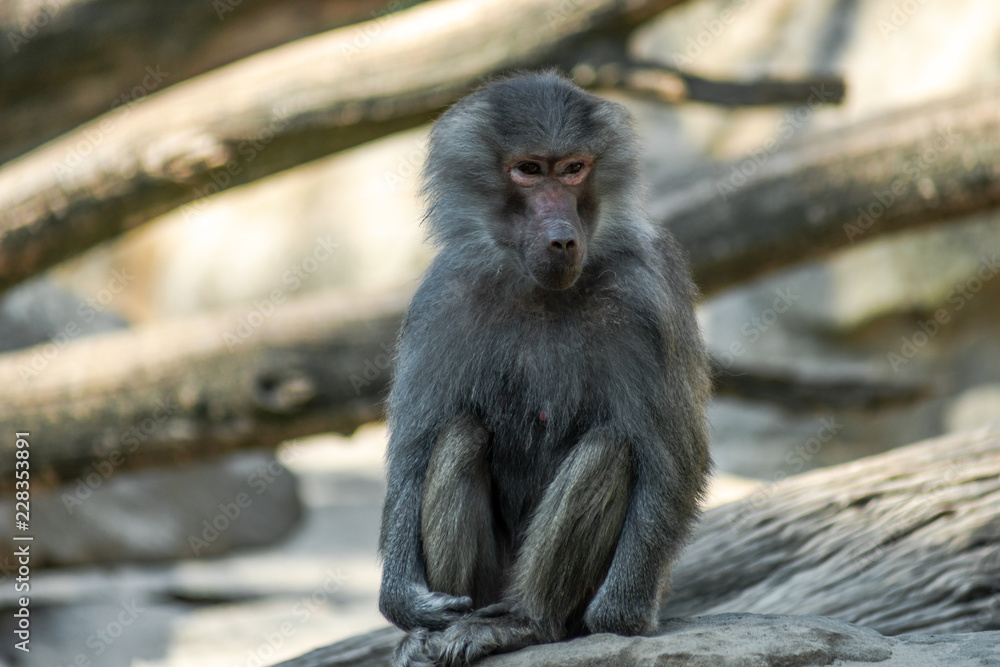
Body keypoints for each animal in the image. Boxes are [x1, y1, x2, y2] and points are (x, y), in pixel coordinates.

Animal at [378, 72, 711, 666]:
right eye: (529, 170)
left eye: (573, 168)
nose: (561, 239)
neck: (539, 291)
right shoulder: (441, 297)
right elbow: (413, 448)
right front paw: (404, 604)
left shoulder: (648, 293)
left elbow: (673, 457)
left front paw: (621, 618)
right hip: (485, 586)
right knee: (458, 435)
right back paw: (439, 633)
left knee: (608, 449)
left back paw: (526, 623)